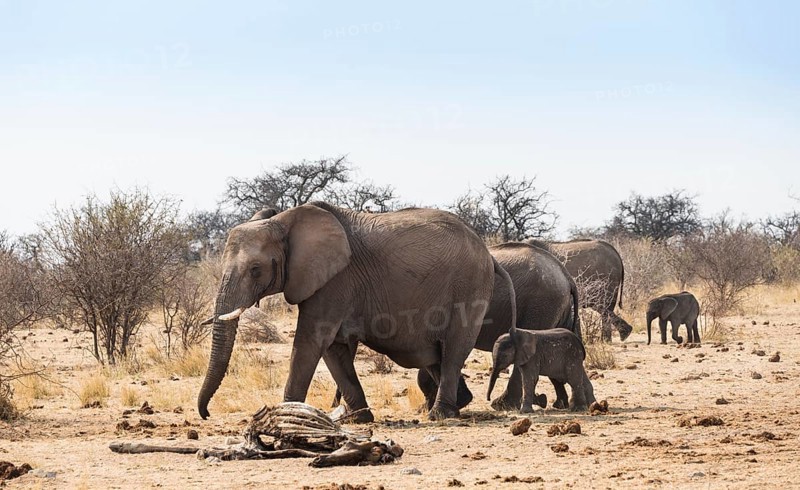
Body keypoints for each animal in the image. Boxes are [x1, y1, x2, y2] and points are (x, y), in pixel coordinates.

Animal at [197, 201, 517, 422]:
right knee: (436, 356)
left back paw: (440, 415)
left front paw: (287, 415)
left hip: (470, 286)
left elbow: (311, 340)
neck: (284, 220)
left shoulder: (335, 280)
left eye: (255, 269)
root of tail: (487, 253)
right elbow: (333, 348)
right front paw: (359, 418)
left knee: (452, 350)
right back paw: (459, 403)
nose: (206, 414)